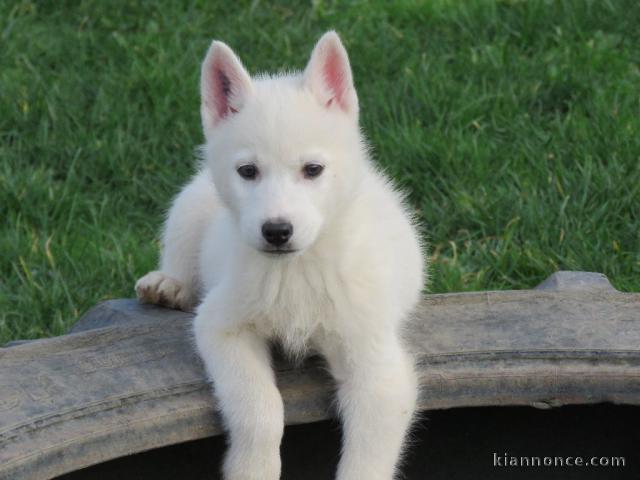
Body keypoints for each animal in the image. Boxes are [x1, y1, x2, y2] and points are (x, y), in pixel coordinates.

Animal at [136, 31, 424, 480]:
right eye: (248, 171)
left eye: (313, 169)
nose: (276, 231)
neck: (297, 271)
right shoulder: (222, 326)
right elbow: (260, 409)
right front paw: (253, 468)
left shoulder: (376, 368)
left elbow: (365, 458)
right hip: (191, 206)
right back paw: (168, 284)